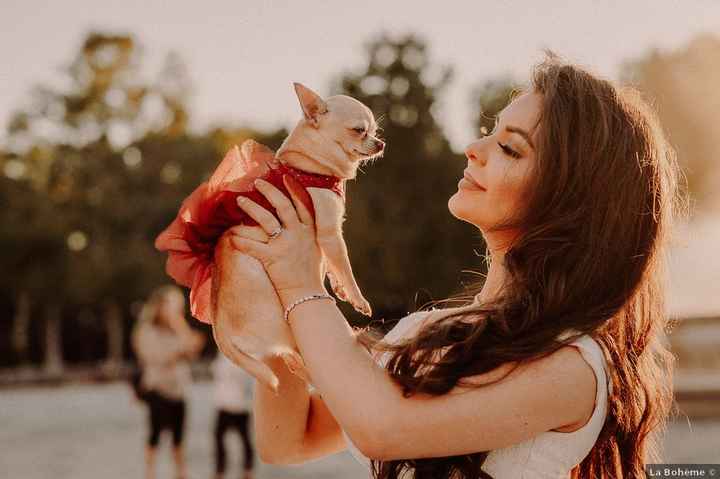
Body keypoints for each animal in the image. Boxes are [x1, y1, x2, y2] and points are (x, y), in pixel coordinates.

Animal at [210, 84, 382, 392]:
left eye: (374, 130)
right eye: (359, 130)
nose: (380, 143)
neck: (309, 165)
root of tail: (220, 331)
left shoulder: (327, 236)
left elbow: (331, 265)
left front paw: (339, 288)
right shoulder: (330, 233)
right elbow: (344, 265)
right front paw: (357, 298)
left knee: (293, 360)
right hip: (283, 320)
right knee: (300, 356)